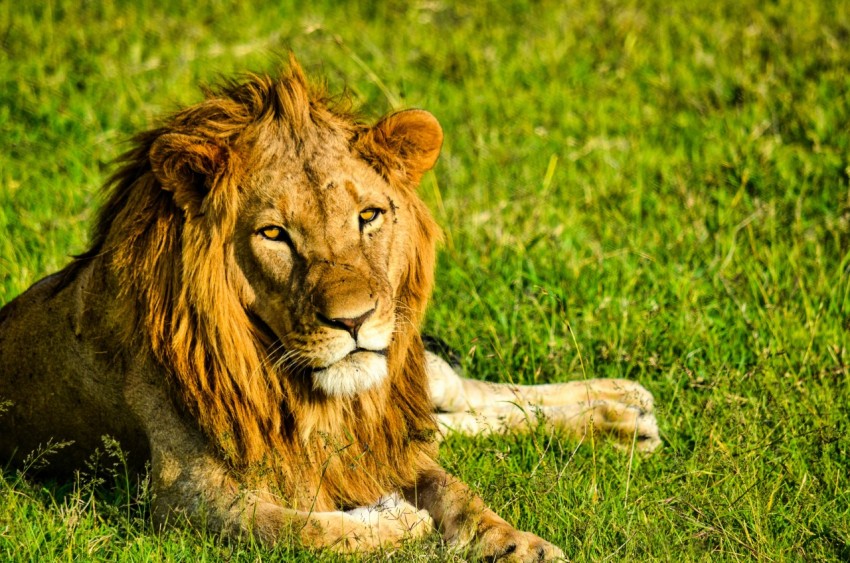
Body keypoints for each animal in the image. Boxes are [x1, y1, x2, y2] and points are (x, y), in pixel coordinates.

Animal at [0, 59, 656, 560]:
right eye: (274, 234)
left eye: (369, 215)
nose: (355, 320)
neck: (305, 394)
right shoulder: (180, 492)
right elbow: (298, 529)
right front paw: (395, 518)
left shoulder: (382, 437)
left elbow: (462, 498)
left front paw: (520, 545)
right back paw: (625, 419)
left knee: (464, 394)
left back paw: (621, 409)